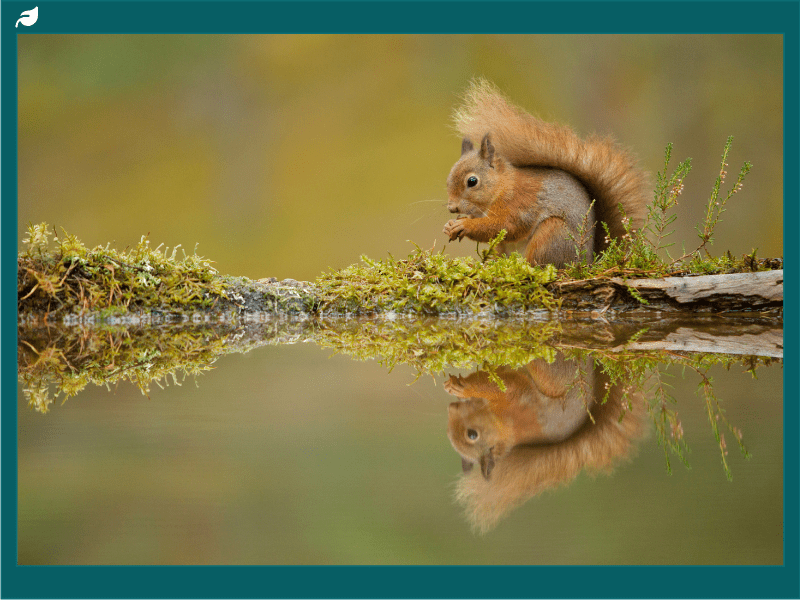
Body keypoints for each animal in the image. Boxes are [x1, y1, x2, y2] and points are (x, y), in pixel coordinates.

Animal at [443, 80, 649, 268]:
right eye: (447, 181)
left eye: (472, 181)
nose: (452, 208)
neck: (502, 186)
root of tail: (587, 262)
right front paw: (450, 226)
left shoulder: (520, 204)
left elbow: (504, 226)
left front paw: (464, 225)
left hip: (552, 235)